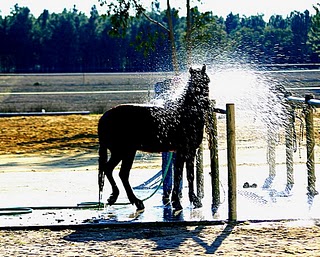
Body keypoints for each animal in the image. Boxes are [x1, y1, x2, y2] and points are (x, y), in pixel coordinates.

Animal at [99, 64, 211, 210]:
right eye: (194, 84)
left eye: (207, 81)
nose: (205, 103)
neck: (186, 114)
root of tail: (104, 117)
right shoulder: (182, 151)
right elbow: (179, 175)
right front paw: (178, 202)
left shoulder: (190, 152)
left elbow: (188, 175)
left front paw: (193, 200)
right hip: (124, 152)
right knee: (119, 173)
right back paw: (133, 200)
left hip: (122, 152)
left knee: (113, 171)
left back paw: (123, 199)